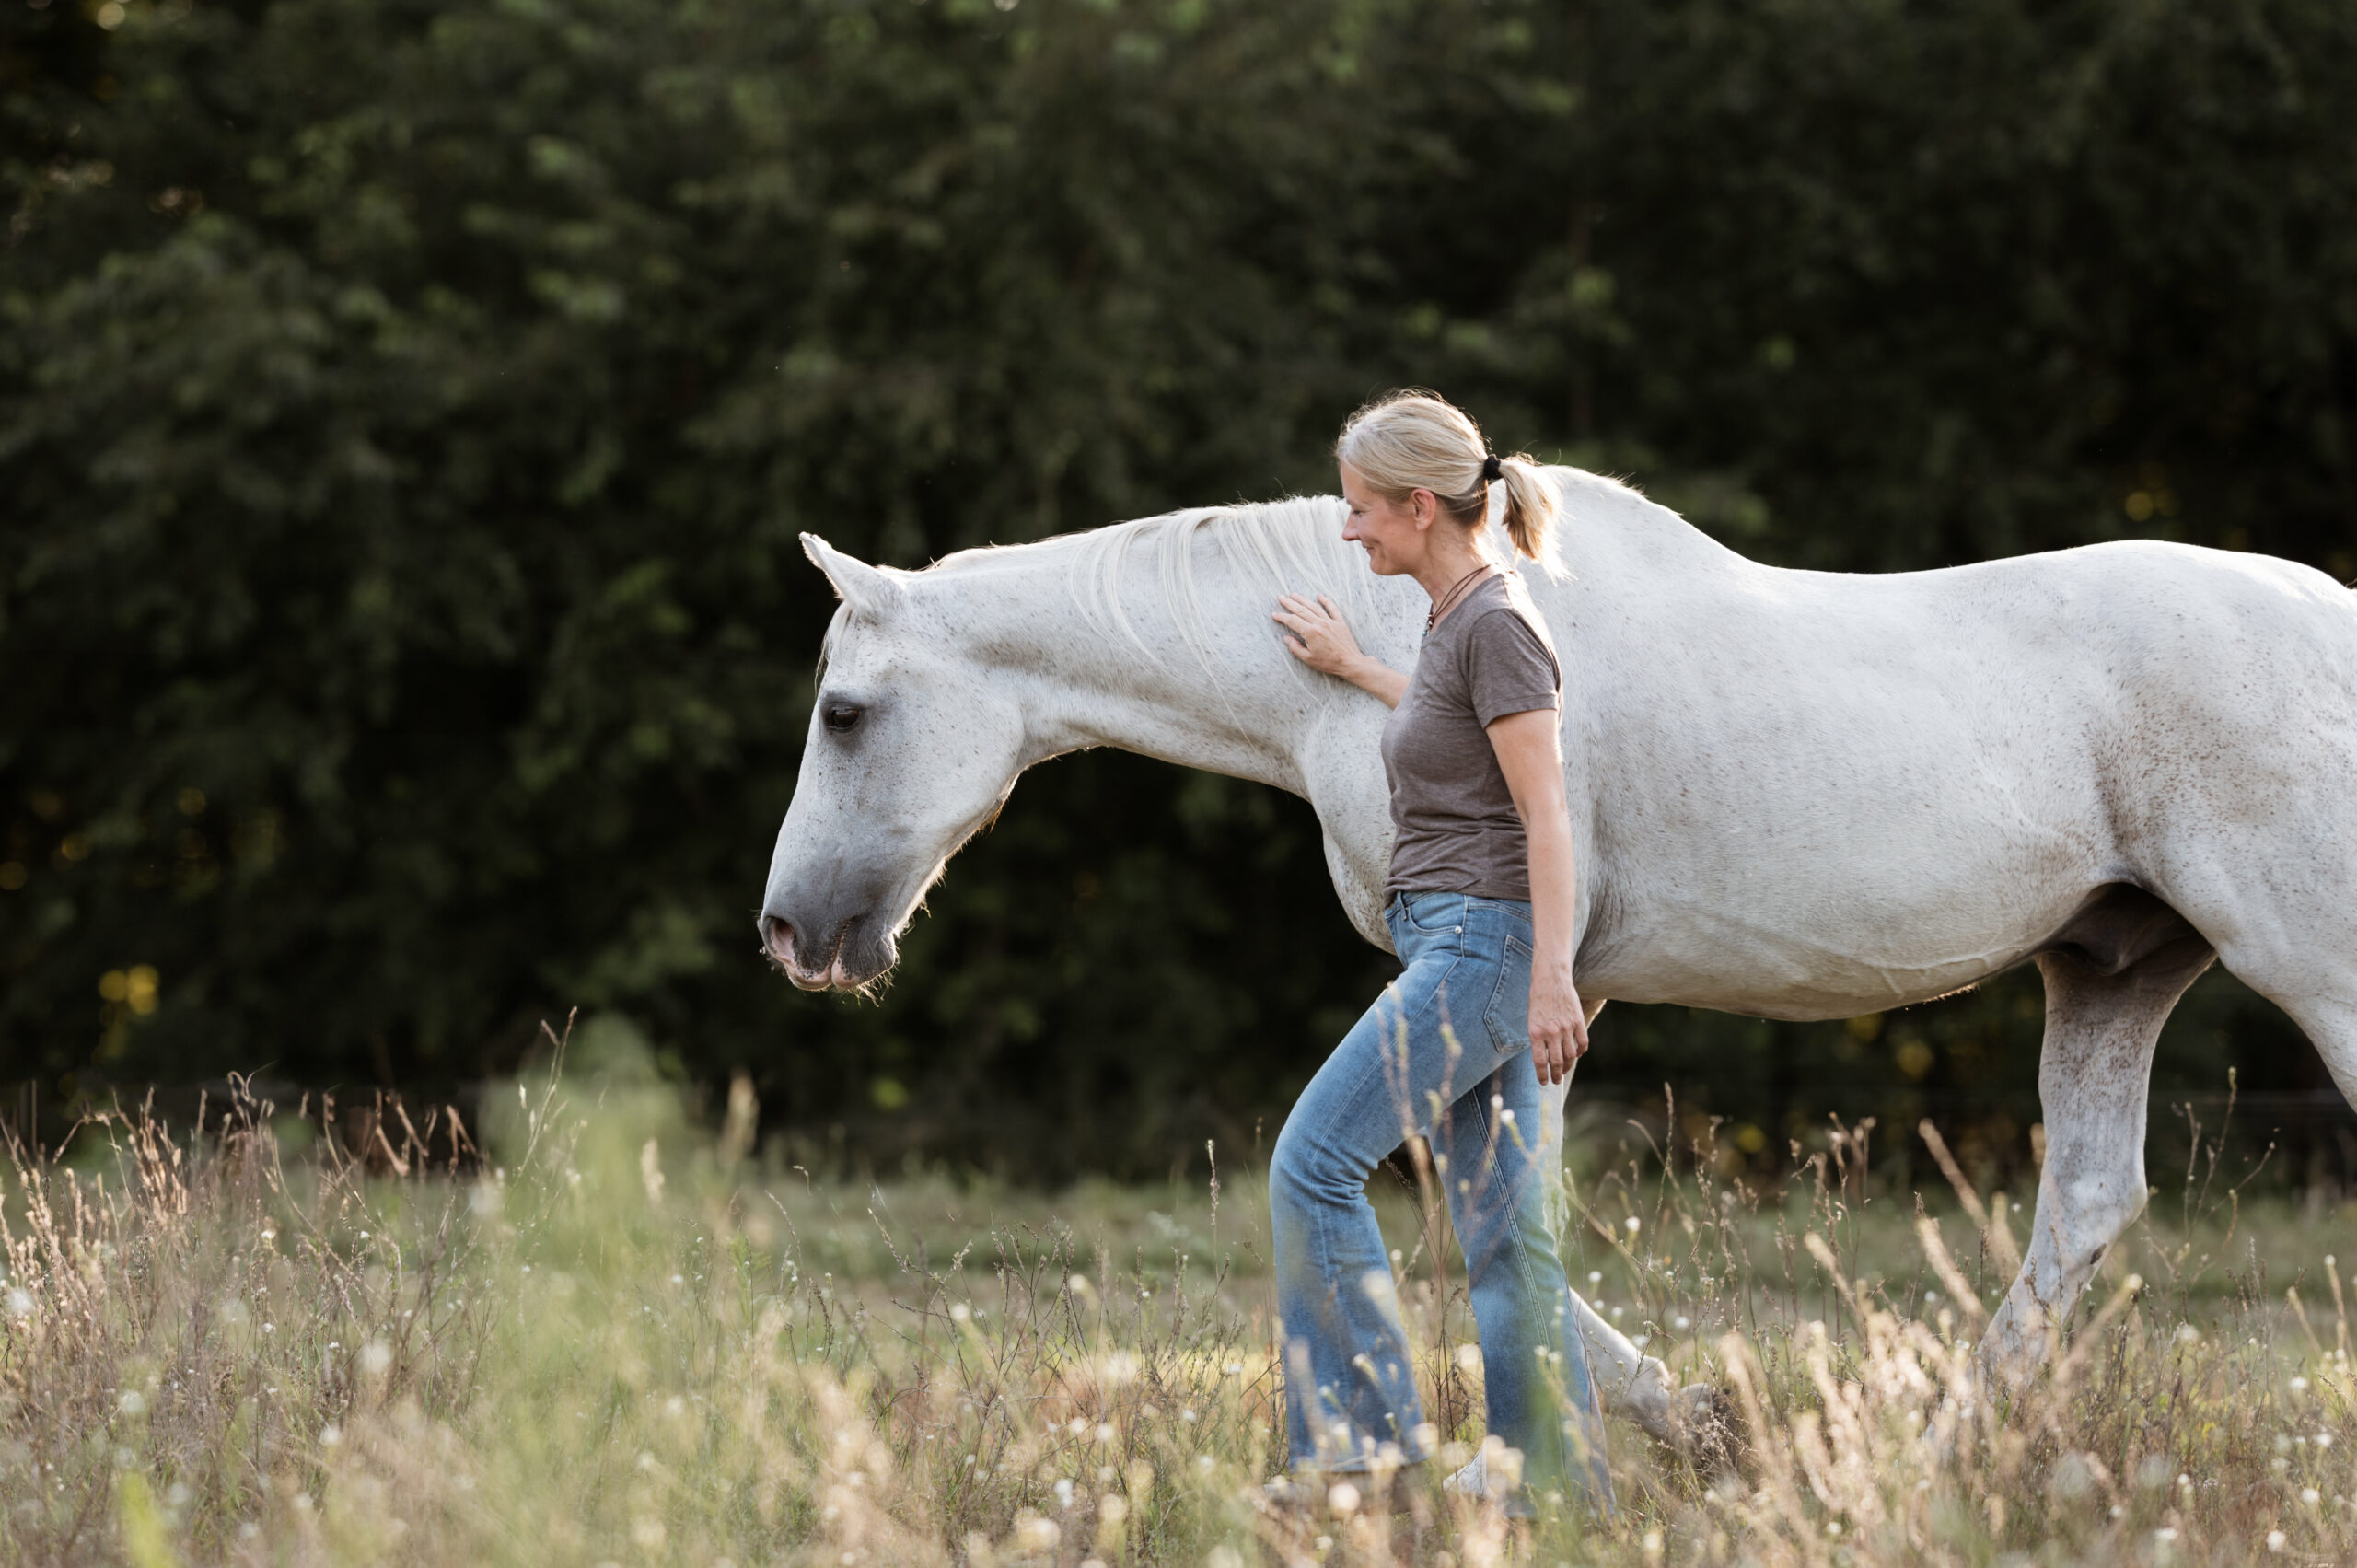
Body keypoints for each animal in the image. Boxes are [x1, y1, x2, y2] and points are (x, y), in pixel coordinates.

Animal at [758, 466, 2357, 1454]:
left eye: (844, 711)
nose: (791, 933)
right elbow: (1494, 1202)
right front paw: (1669, 1422)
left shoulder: (1521, 977)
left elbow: (1489, 1204)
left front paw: (1660, 1422)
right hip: (2112, 967)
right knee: (2084, 1202)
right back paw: (1933, 1449)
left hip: (2313, 967)